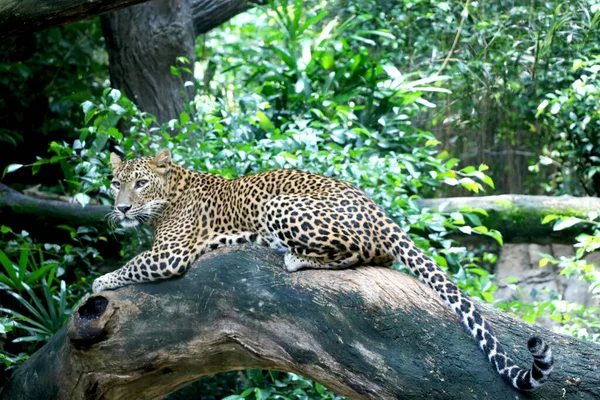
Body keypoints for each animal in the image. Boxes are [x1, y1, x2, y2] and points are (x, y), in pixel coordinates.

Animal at [92, 148, 552, 390]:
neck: (169, 194)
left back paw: (294, 256)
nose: (122, 208)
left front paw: (100, 280)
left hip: (279, 205)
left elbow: (130, 264)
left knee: (351, 252)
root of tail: (380, 212)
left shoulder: (168, 254)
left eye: (141, 183)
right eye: (116, 183)